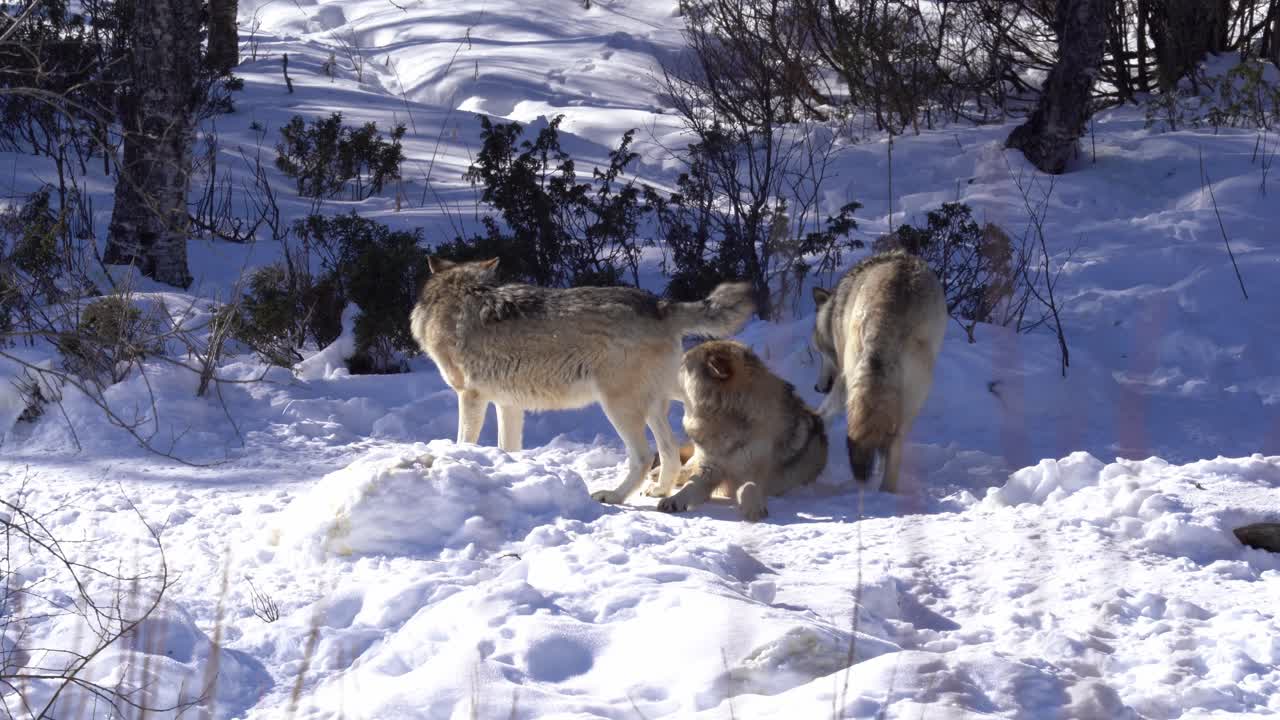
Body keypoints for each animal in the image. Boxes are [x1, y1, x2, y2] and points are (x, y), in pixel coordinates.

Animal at [410, 257, 755, 504]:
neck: (457, 295)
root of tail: (659, 305)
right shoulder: (509, 405)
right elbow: (508, 448)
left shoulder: (470, 396)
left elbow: (464, 441)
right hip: (656, 404)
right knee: (669, 451)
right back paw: (659, 491)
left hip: (618, 407)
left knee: (644, 457)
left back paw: (614, 496)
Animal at [655, 340, 828, 521]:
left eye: (682, 365)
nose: (658, 375)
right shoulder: (708, 468)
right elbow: (690, 485)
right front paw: (673, 500)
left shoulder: (752, 470)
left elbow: (749, 487)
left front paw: (753, 509)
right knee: (685, 467)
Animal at [810, 250, 947, 493]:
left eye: (820, 353)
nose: (817, 387)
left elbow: (827, 410)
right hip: (911, 398)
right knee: (894, 442)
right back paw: (886, 491)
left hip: (852, 379)